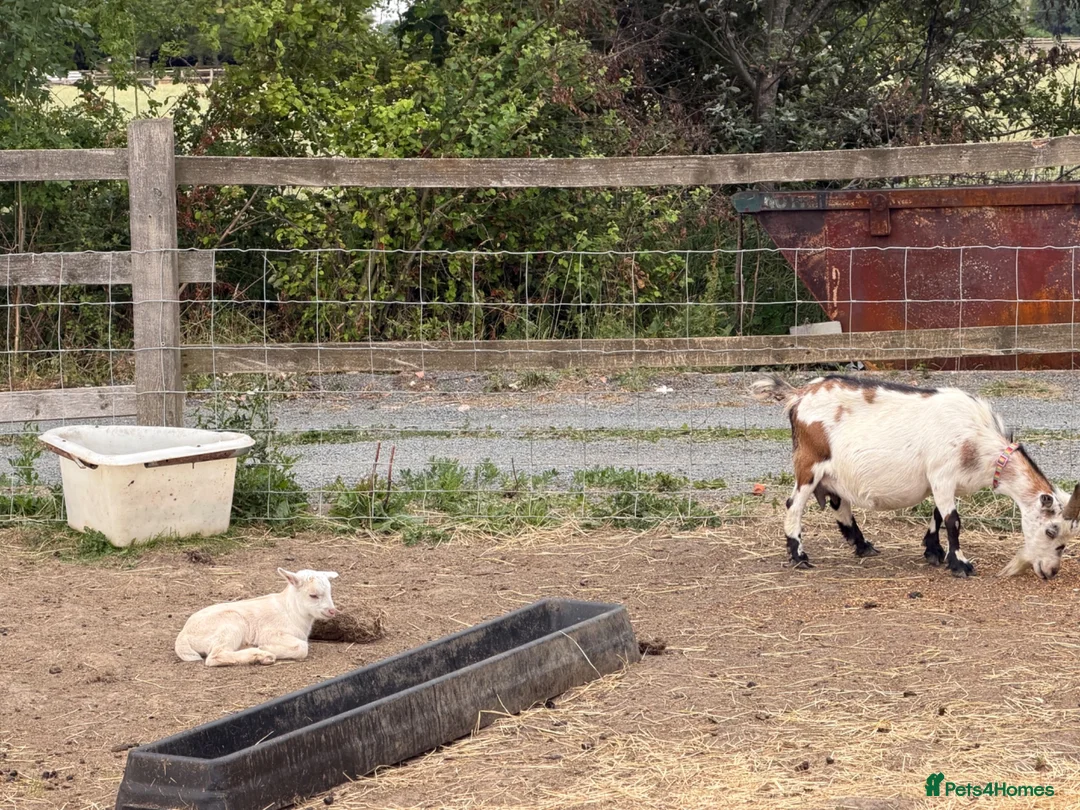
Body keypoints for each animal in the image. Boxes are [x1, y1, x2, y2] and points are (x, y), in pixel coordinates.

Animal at [175, 568, 339, 666]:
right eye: (313, 595)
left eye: (330, 592)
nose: (332, 611)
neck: (290, 611)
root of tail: (183, 635)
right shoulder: (270, 632)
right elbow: (303, 647)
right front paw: (266, 647)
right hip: (230, 625)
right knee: (215, 656)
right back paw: (261, 655)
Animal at [751, 374, 1080, 579]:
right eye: (1052, 531)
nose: (1050, 572)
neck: (976, 439)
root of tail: (798, 395)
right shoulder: (942, 474)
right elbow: (953, 521)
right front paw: (960, 564)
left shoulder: (943, 481)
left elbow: (937, 515)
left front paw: (933, 551)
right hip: (809, 464)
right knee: (794, 505)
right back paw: (800, 556)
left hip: (833, 473)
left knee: (840, 506)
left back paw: (863, 546)